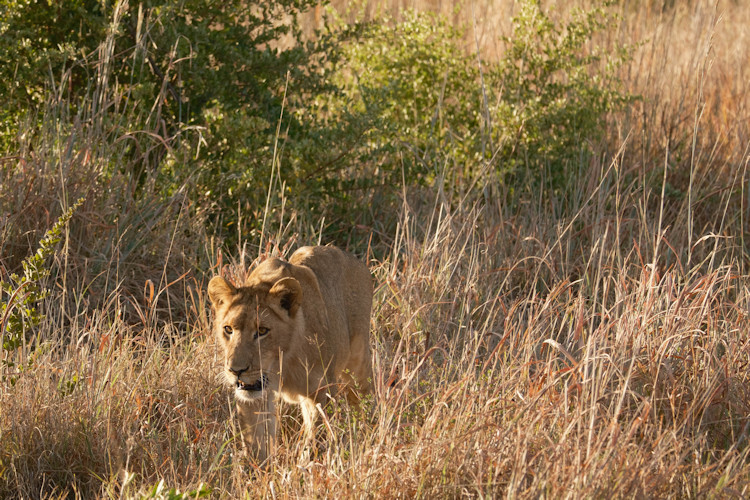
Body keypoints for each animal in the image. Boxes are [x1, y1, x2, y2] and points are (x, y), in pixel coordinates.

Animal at [207, 245, 373, 462]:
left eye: (262, 331)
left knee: (362, 400)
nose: (236, 370)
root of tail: (357, 261)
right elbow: (256, 444)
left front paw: (305, 464)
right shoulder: (253, 396)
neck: (282, 362)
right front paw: (259, 470)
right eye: (228, 329)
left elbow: (315, 437)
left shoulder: (319, 391)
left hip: (357, 365)